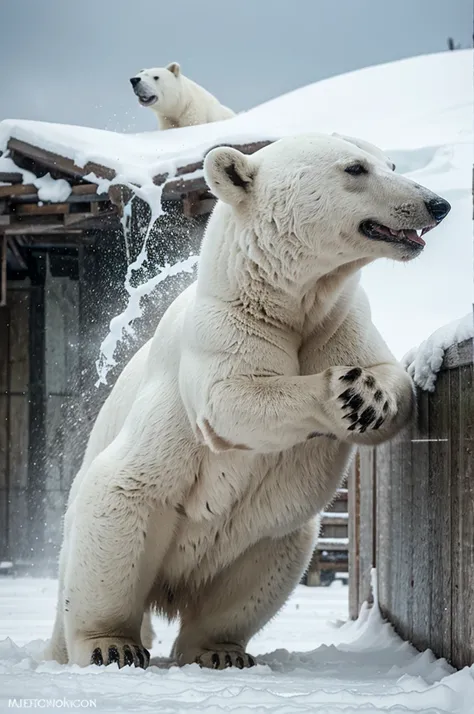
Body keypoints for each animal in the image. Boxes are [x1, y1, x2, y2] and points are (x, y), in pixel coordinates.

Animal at [46, 132, 450, 668]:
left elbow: (391, 377)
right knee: (114, 525)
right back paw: (109, 644)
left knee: (256, 577)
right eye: (355, 168)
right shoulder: (221, 327)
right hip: (117, 509)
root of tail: (170, 588)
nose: (437, 204)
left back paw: (219, 651)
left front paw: (368, 396)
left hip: (258, 538)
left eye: (392, 165)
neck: (283, 296)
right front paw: (340, 393)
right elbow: (232, 397)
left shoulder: (341, 321)